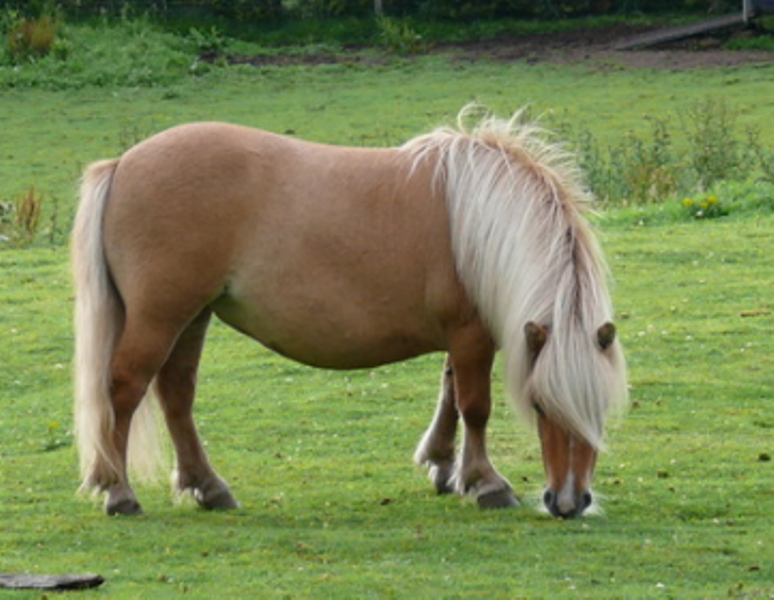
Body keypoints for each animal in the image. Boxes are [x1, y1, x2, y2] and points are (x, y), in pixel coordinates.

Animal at [73, 105, 628, 516]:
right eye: (539, 406)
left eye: (601, 405)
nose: (568, 502)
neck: (482, 222)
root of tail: (122, 164)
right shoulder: (471, 333)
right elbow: (475, 406)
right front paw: (486, 482)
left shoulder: (460, 336)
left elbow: (450, 394)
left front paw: (444, 467)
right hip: (160, 317)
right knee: (124, 388)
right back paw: (120, 492)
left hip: (192, 316)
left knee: (176, 395)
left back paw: (208, 487)